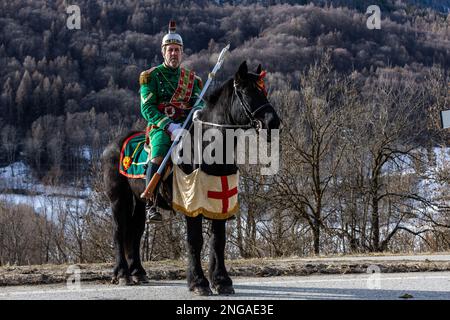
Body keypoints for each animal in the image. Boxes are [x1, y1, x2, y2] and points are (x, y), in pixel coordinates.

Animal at [102, 60, 282, 296]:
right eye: (246, 91)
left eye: (263, 90)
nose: (273, 122)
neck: (208, 148)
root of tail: (111, 146)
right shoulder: (191, 203)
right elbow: (195, 241)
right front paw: (198, 282)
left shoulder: (220, 202)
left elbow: (218, 241)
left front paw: (221, 281)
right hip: (118, 198)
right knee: (119, 230)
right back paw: (122, 273)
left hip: (139, 200)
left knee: (136, 231)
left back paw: (138, 272)